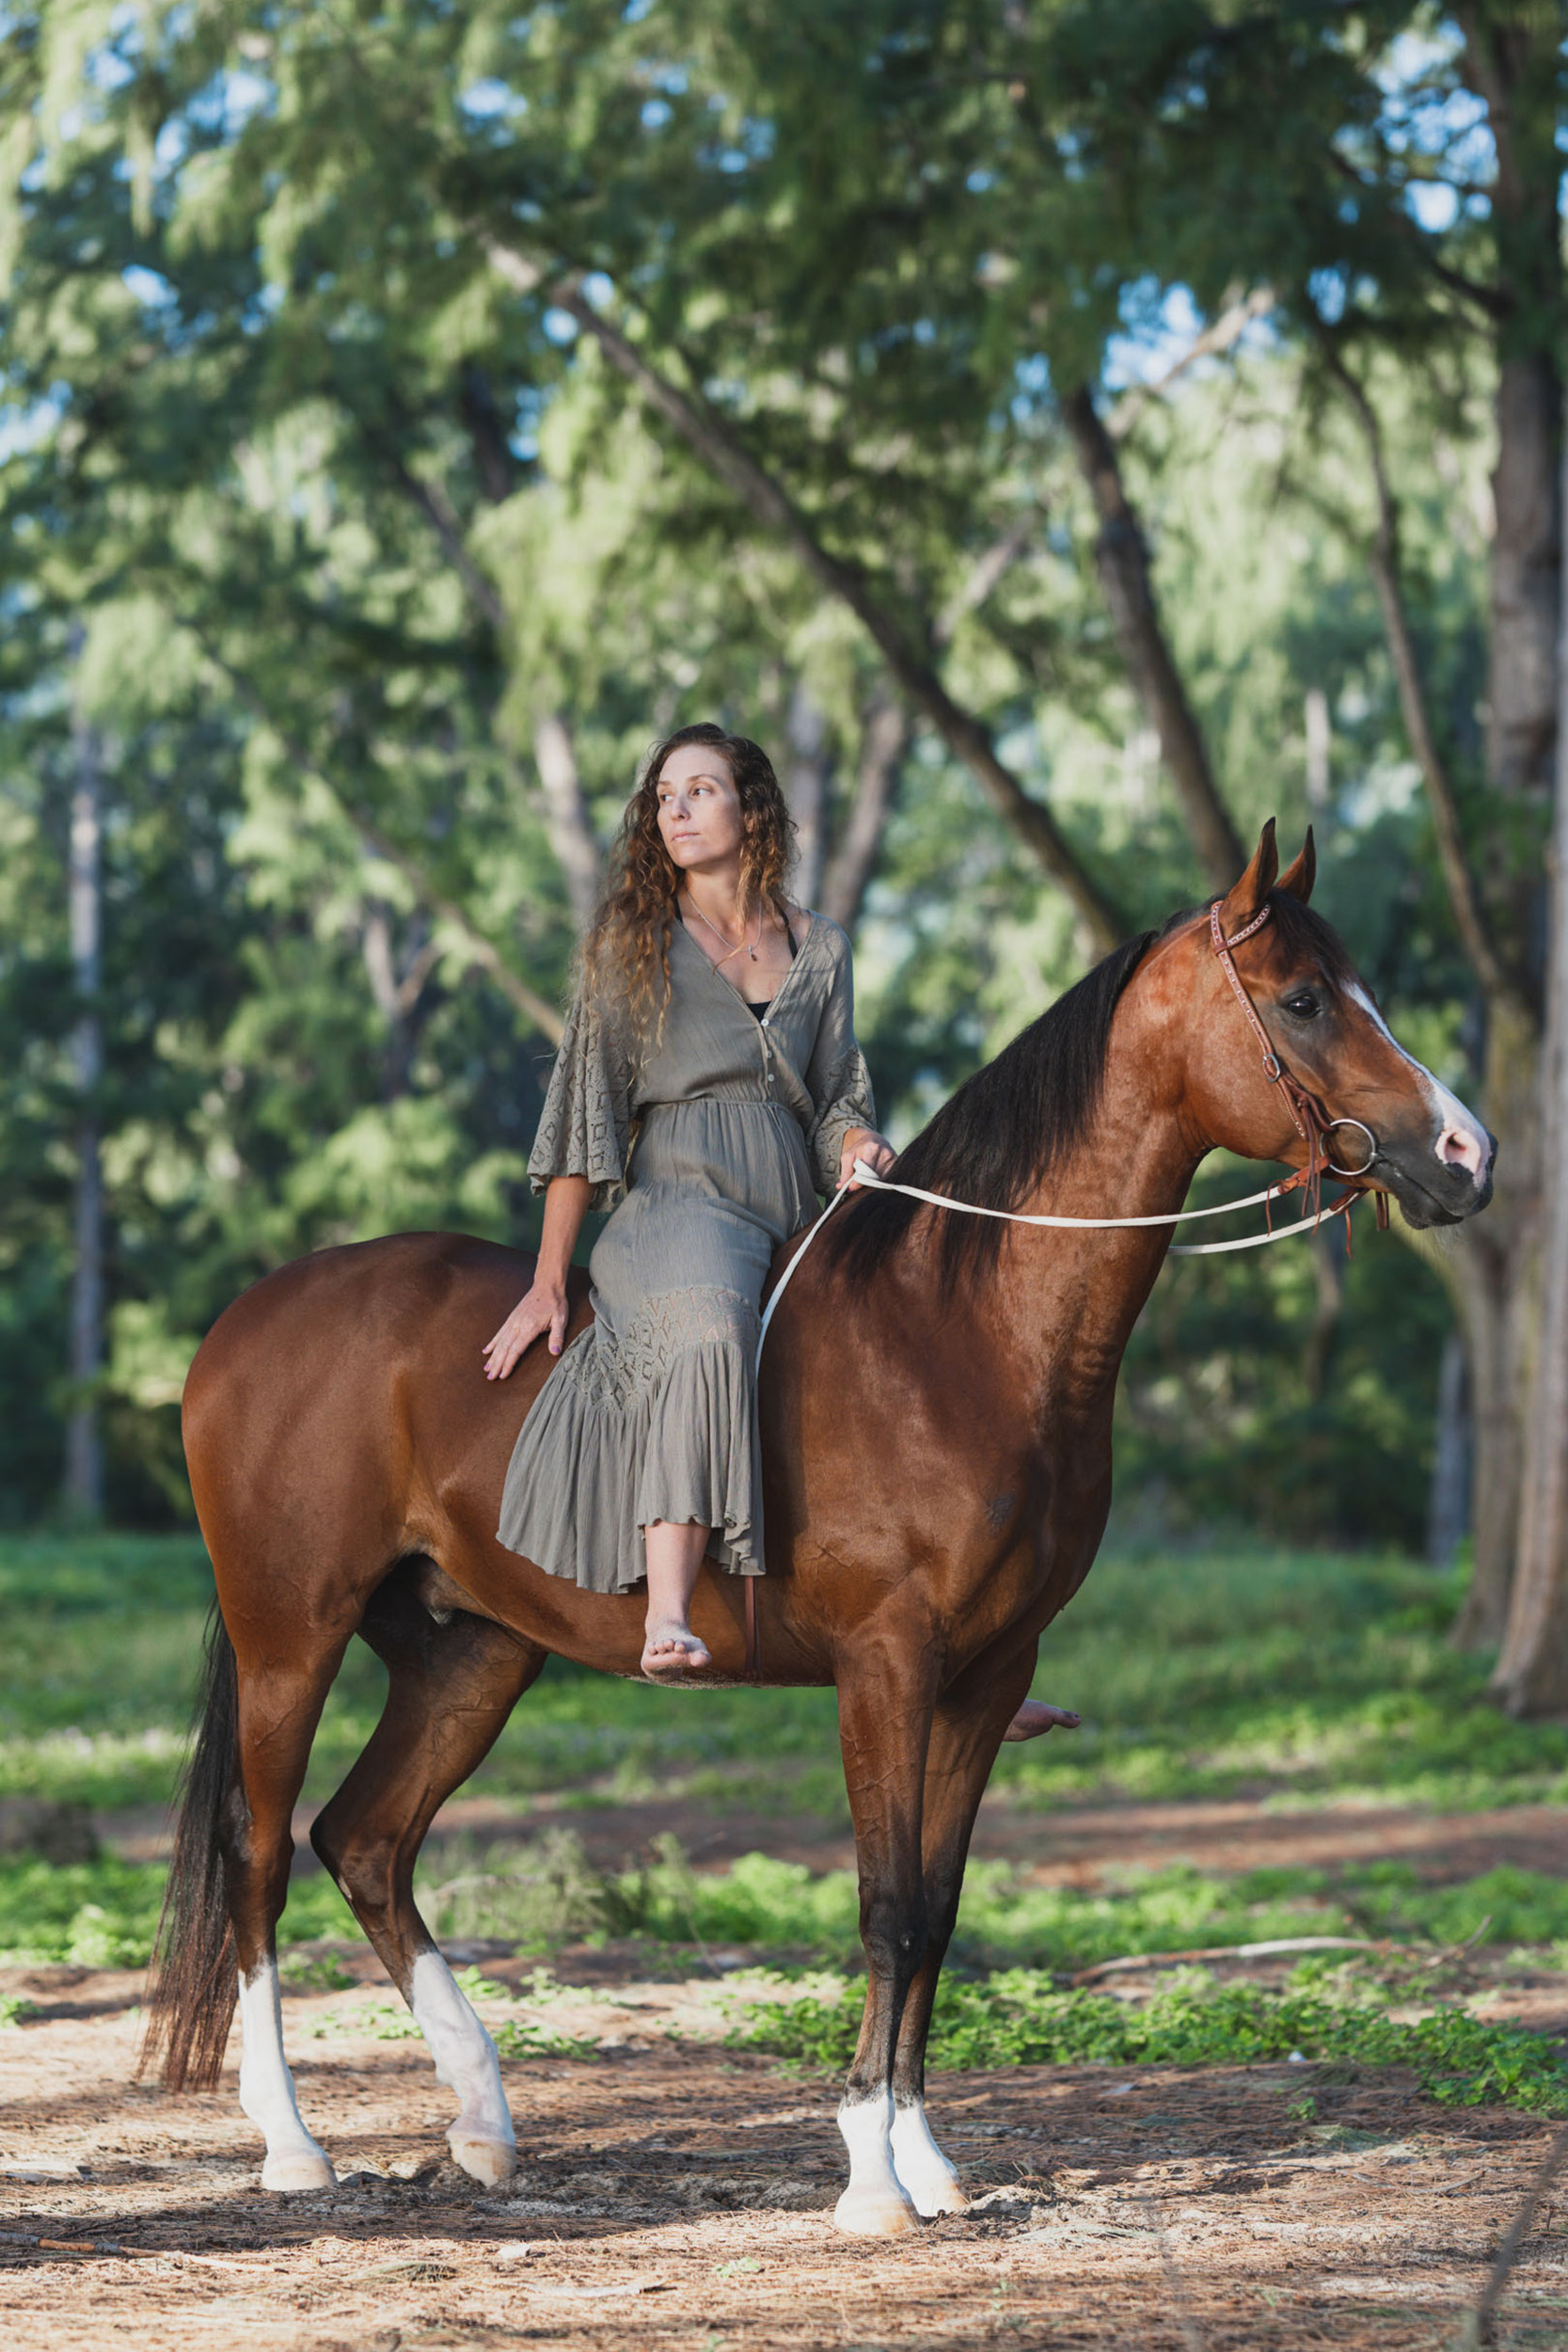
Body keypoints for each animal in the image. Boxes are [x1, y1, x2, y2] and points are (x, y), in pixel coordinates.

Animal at [147, 833, 1495, 2239]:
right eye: (1302, 999)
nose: (1466, 1152)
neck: (957, 1329)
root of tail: (249, 1315)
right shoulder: (885, 1669)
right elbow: (886, 1908)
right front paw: (870, 2176)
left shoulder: (983, 1677)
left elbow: (938, 1913)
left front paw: (929, 2160)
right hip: (291, 1639)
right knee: (258, 1856)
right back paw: (293, 2143)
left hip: (471, 1656)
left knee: (364, 1841)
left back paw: (482, 2117)